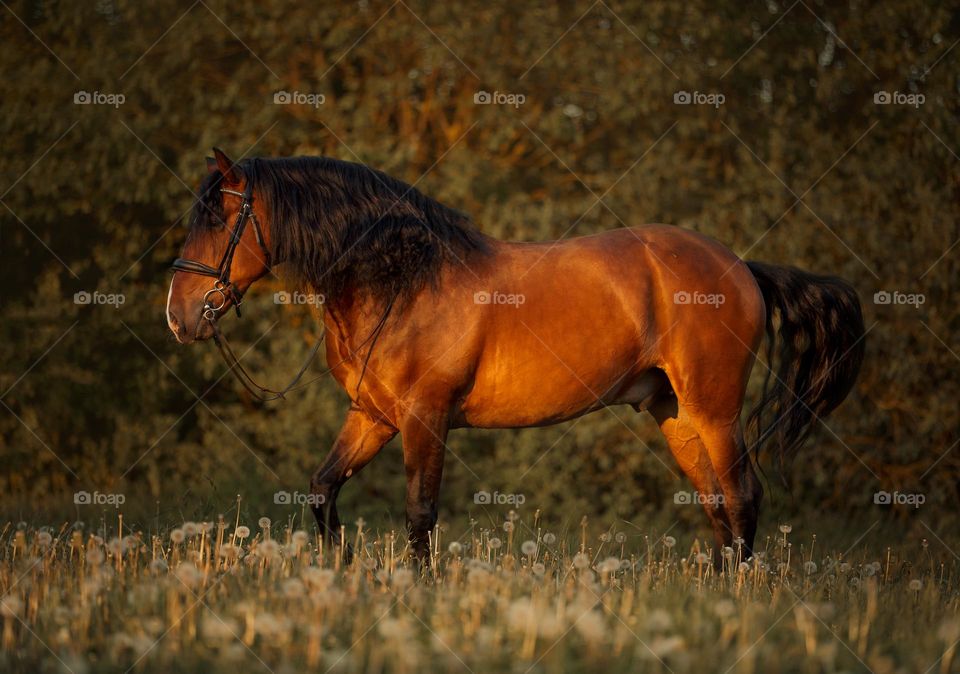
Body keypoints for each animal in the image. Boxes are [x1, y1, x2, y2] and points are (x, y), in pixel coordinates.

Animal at [169, 148, 868, 560]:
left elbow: (420, 515)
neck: (402, 278)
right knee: (718, 504)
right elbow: (322, 490)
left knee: (743, 497)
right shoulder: (372, 417)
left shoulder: (425, 418)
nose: (179, 315)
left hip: (716, 412)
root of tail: (742, 267)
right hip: (678, 417)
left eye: (219, 218)